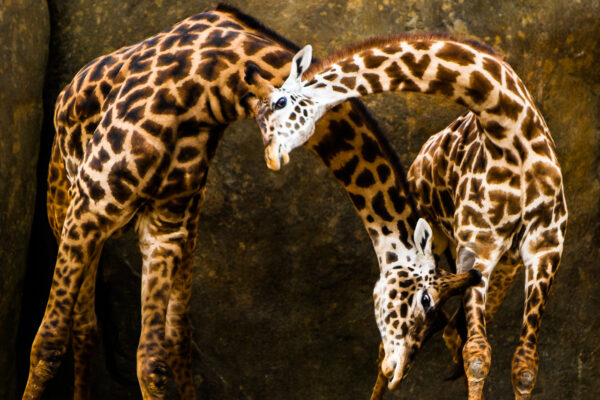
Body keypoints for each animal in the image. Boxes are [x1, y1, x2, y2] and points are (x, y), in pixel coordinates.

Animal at [30, 5, 478, 400]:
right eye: (424, 303)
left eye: (438, 325)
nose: (395, 373)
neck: (210, 88)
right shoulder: (92, 204)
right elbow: (47, 344)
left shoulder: (164, 229)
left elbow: (151, 362)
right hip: (65, 210)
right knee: (81, 327)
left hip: (178, 230)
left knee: (162, 334)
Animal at [245, 35, 568, 400]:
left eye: (280, 102)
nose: (271, 158)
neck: (509, 131)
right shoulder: (478, 247)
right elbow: (477, 354)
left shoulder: (546, 249)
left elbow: (524, 365)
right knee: (405, 348)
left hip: (505, 265)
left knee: (449, 336)